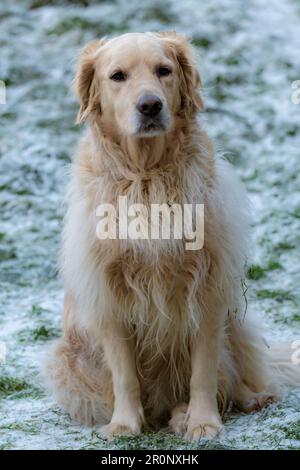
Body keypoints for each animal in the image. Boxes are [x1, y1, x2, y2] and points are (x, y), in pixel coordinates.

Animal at [45, 31, 300, 438]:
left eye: (164, 70)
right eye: (117, 76)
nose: (150, 106)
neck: (147, 175)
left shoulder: (208, 288)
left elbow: (205, 371)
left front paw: (203, 421)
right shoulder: (109, 294)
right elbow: (125, 375)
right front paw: (124, 424)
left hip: (236, 321)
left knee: (237, 377)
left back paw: (230, 403)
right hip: (67, 359)